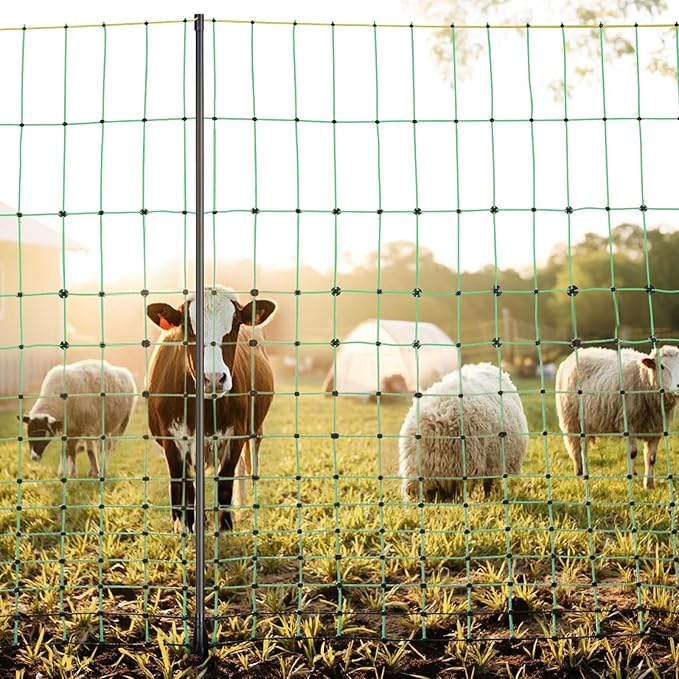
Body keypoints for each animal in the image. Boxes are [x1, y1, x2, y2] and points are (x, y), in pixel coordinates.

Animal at [555, 345, 679, 489]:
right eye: (662, 366)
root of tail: (576, 353)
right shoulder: (628, 424)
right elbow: (632, 453)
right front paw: (633, 480)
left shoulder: (656, 430)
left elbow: (651, 458)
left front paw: (649, 485)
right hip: (572, 421)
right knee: (579, 449)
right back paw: (581, 473)